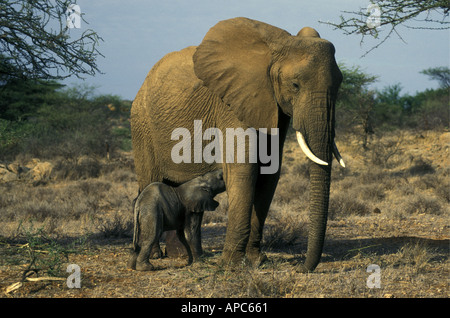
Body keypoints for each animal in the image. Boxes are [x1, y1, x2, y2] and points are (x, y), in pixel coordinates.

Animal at [130, 16, 344, 270]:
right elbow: (244, 169)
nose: (301, 267)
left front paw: (257, 260)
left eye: (340, 84)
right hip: (142, 125)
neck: (277, 46)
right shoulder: (232, 102)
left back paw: (179, 256)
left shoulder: (272, 105)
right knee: (150, 179)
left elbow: (269, 173)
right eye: (295, 85)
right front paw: (231, 264)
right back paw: (155, 256)